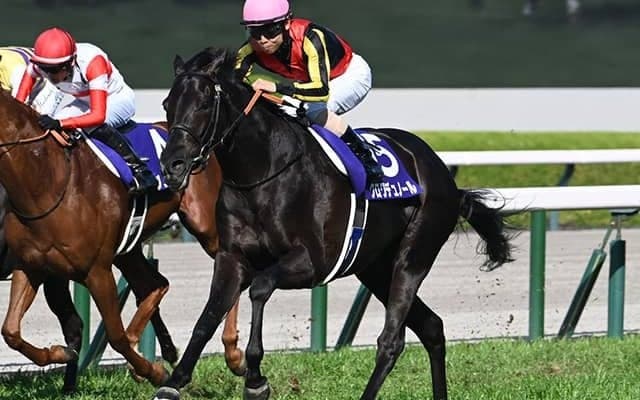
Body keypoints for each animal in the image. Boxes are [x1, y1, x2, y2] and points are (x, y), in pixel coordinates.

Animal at [0, 89, 245, 391]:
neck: (46, 184)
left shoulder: (97, 271)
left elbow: (115, 335)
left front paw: (155, 371)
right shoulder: (31, 266)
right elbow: (11, 331)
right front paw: (61, 353)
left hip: (205, 225)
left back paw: (233, 353)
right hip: (128, 250)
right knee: (155, 284)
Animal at [153, 47, 515, 400]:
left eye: (203, 104)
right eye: (168, 104)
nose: (172, 164)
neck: (263, 173)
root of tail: (444, 176)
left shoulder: (314, 262)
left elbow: (260, 288)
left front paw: (255, 378)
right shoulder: (232, 258)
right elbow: (207, 318)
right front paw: (174, 381)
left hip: (413, 257)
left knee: (391, 341)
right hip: (375, 267)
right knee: (431, 326)